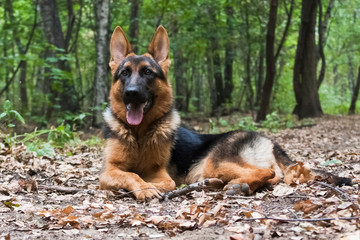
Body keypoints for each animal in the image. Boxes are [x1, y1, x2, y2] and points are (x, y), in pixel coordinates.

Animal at [99, 25, 352, 201]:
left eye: (148, 73)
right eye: (124, 73)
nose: (132, 93)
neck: (139, 133)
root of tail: (268, 140)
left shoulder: (160, 174)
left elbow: (160, 181)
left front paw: (146, 187)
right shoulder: (108, 171)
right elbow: (131, 174)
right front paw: (142, 186)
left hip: (215, 163)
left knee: (270, 173)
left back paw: (237, 185)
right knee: (272, 175)